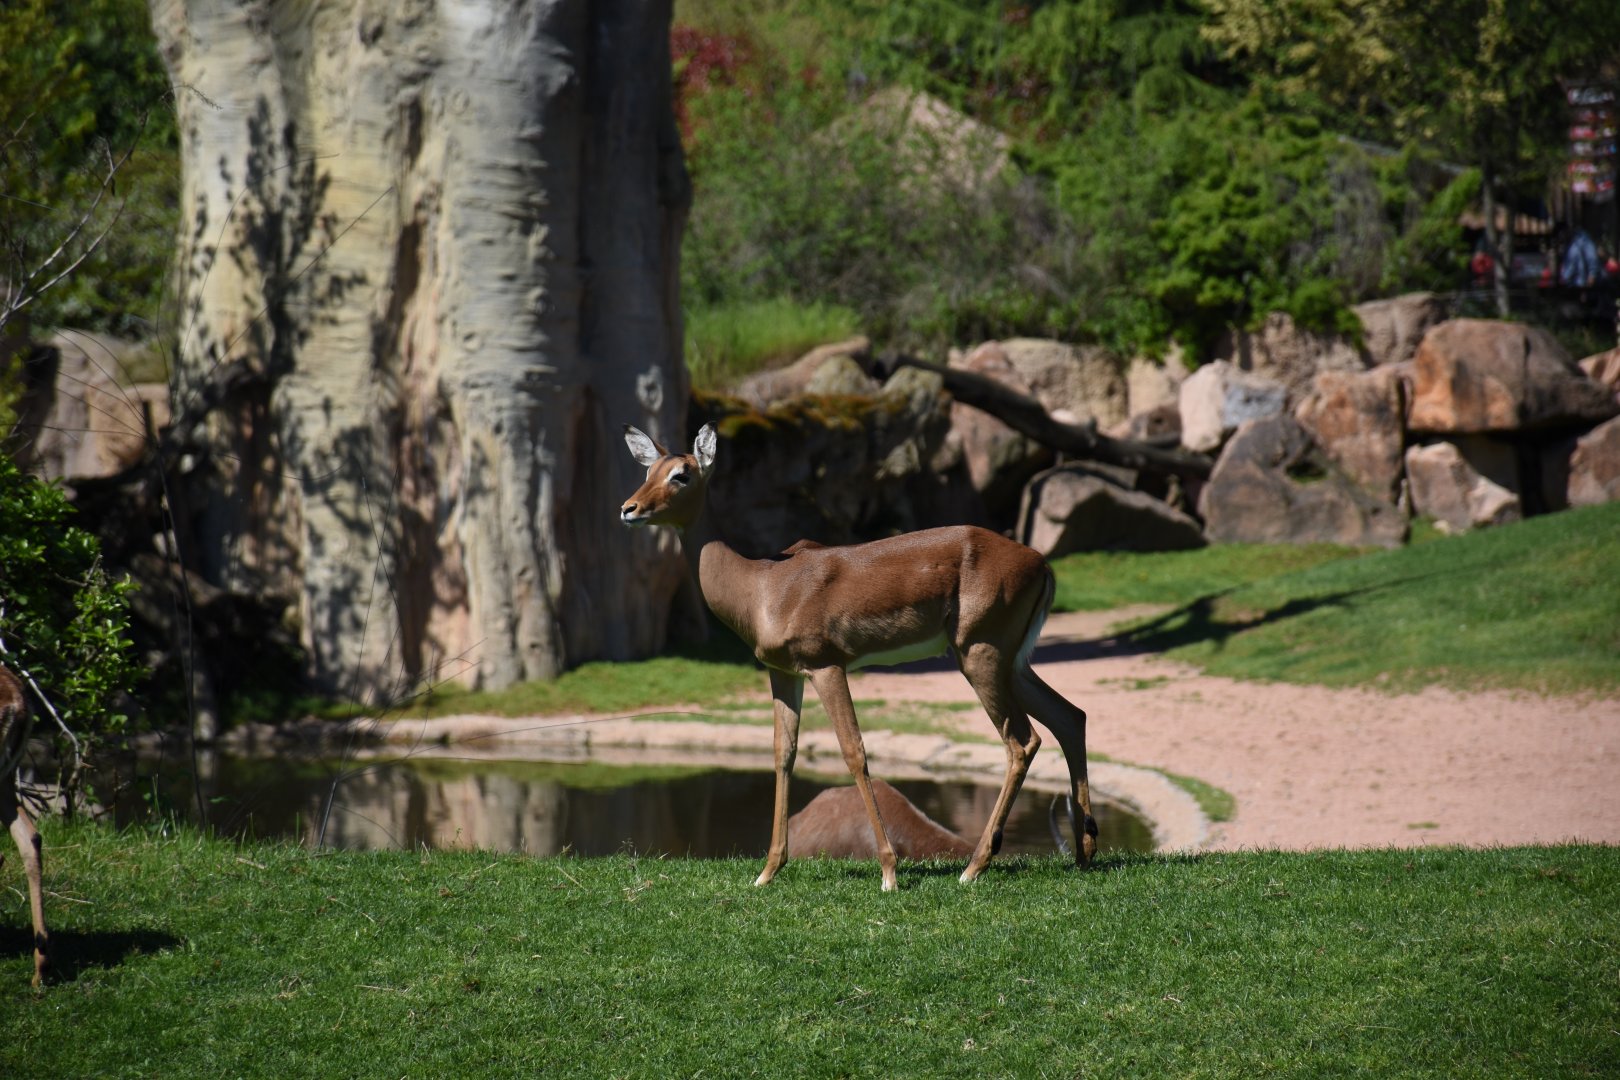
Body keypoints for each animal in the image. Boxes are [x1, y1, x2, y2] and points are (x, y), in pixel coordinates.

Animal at [620, 423, 1098, 891]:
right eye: (648, 470)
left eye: (682, 473)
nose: (629, 508)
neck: (762, 587)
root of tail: (1040, 563)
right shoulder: (783, 673)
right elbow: (783, 753)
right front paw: (767, 872)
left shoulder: (826, 666)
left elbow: (854, 750)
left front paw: (889, 872)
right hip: (1011, 662)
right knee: (1070, 717)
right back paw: (1084, 854)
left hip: (980, 656)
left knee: (1022, 740)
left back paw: (973, 867)